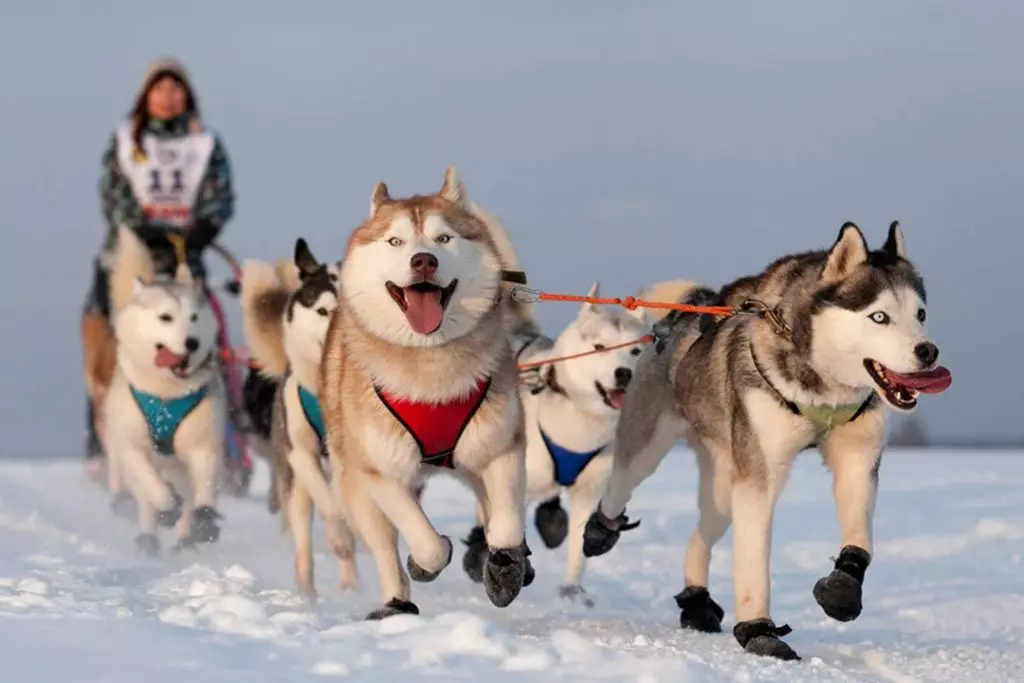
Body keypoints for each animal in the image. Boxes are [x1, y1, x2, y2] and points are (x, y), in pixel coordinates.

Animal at [101, 227, 226, 557]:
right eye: (165, 317)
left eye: (194, 318)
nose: (192, 343)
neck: (167, 394)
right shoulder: (132, 446)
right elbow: (150, 483)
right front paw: (166, 506)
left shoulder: (203, 443)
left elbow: (204, 486)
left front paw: (204, 519)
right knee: (143, 495)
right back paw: (150, 532)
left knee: (190, 495)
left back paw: (186, 537)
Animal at [239, 239, 356, 598]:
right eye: (323, 311)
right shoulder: (301, 452)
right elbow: (332, 509)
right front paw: (341, 537)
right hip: (295, 485)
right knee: (303, 533)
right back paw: (308, 591)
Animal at [321, 166, 536, 618]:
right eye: (395, 241)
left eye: (444, 238)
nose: (423, 260)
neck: (431, 374)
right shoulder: (381, 471)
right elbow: (424, 540)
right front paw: (426, 561)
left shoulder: (502, 448)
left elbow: (507, 525)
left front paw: (506, 568)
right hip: (355, 488)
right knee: (385, 547)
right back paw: (397, 601)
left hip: (472, 463)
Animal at [464, 280, 647, 606]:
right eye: (600, 347)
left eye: (635, 351)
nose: (624, 374)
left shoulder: (588, 493)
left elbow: (578, 549)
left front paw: (571, 590)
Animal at [585, 224, 950, 663]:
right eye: (879, 316)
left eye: (921, 314)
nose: (928, 351)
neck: (822, 387)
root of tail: (682, 314)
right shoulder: (759, 479)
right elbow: (754, 561)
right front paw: (759, 631)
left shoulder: (857, 459)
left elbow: (860, 537)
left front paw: (843, 589)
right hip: (650, 449)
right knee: (619, 488)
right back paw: (599, 530)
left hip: (724, 486)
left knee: (699, 538)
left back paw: (696, 601)